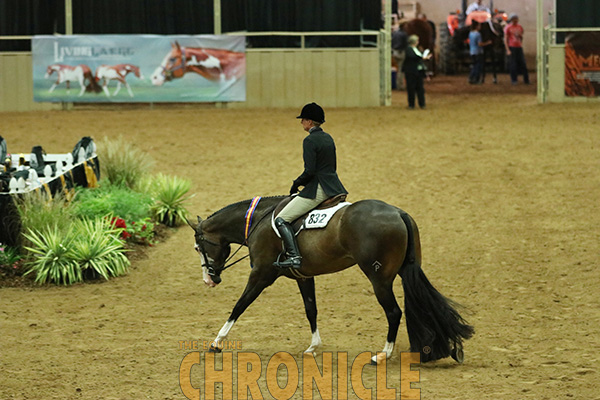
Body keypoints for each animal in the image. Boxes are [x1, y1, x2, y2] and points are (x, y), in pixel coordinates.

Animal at [188, 195, 474, 364]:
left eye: (198, 247)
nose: (209, 280)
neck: (259, 220)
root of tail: (398, 212)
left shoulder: (262, 274)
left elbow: (239, 305)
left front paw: (216, 343)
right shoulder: (304, 276)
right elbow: (311, 309)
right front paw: (313, 347)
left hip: (379, 278)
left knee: (394, 312)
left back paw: (382, 355)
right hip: (406, 271)